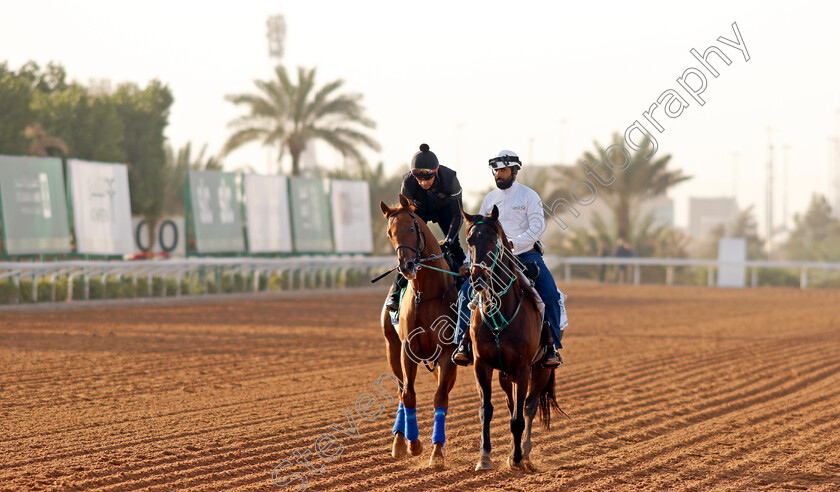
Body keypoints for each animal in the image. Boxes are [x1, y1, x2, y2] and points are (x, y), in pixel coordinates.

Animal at [378, 194, 460, 468]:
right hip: (391, 349)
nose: (406, 265)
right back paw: (398, 441)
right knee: (400, 390)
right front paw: (412, 444)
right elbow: (409, 395)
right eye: (389, 233)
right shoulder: (407, 349)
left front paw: (437, 452)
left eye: (412, 229)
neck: (426, 294)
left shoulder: (447, 353)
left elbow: (440, 398)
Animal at [462, 206, 560, 470]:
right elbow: (486, 410)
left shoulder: (524, 368)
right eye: (470, 240)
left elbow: (519, 417)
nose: (477, 278)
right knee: (511, 404)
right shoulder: (482, 365)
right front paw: (484, 457)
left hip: (541, 369)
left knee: (529, 406)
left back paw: (524, 452)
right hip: (505, 374)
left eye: (492, 239)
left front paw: (516, 458)